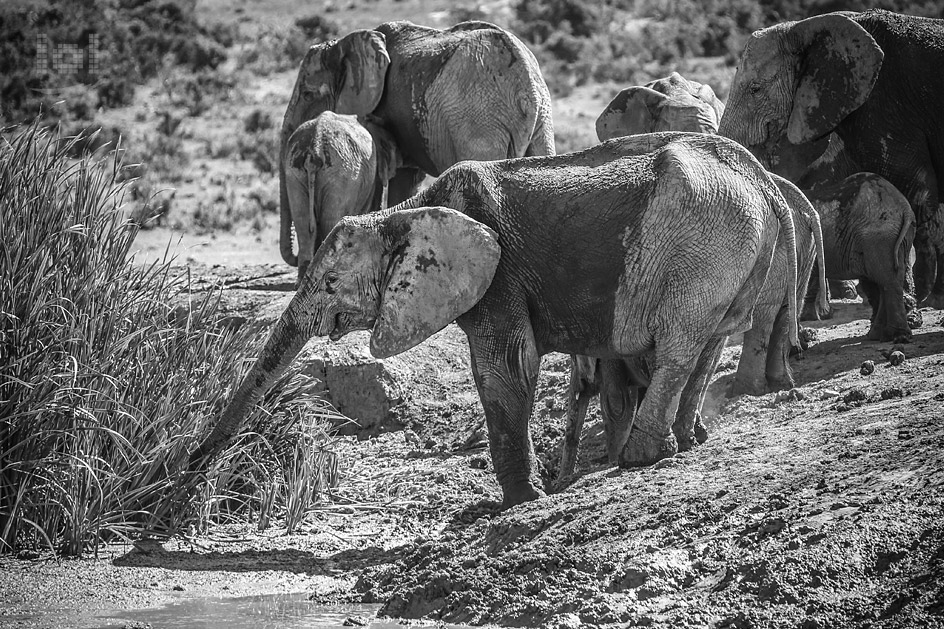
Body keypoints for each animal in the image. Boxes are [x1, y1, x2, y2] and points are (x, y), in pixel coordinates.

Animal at [190, 132, 796, 506]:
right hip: (734, 254)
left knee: (678, 347)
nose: (187, 473)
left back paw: (642, 458)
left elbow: (506, 367)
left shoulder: (499, 274)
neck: (404, 212)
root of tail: (767, 184)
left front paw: (518, 503)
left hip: (702, 243)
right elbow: (505, 370)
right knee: (710, 342)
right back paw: (688, 441)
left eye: (332, 283)